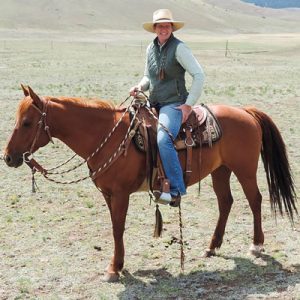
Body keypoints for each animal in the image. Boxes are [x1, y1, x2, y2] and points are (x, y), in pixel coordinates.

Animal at [3, 86, 296, 282]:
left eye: (27, 122)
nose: (7, 157)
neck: (106, 136)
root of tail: (246, 111)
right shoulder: (107, 194)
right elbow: (115, 227)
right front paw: (118, 265)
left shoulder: (120, 194)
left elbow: (117, 228)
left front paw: (114, 268)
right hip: (220, 171)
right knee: (226, 202)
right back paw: (212, 247)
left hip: (244, 169)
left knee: (255, 200)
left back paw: (256, 245)